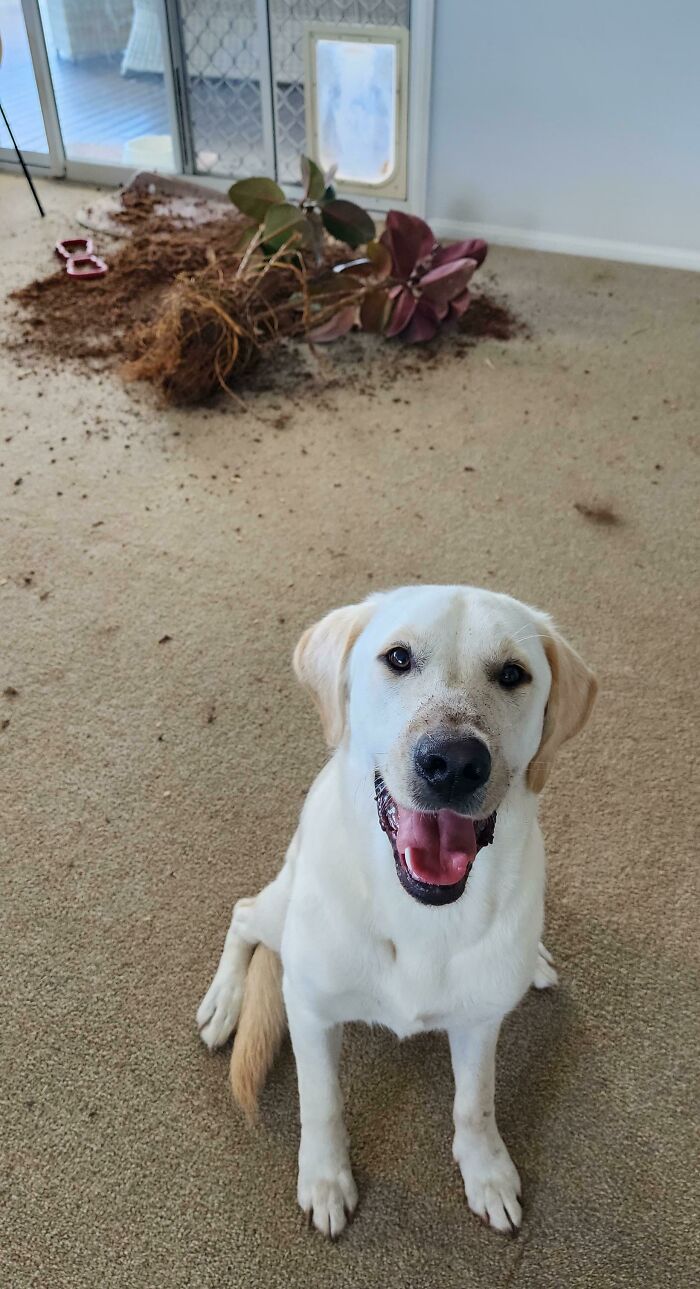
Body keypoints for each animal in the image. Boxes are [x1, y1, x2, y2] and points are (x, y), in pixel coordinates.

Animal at [197, 585, 598, 1237]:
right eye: (399, 658)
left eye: (514, 674)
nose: (454, 763)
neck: (424, 915)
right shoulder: (310, 1011)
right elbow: (322, 1102)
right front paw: (326, 1178)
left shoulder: (480, 1021)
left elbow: (475, 1104)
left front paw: (486, 1171)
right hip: (280, 905)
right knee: (244, 912)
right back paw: (225, 1001)